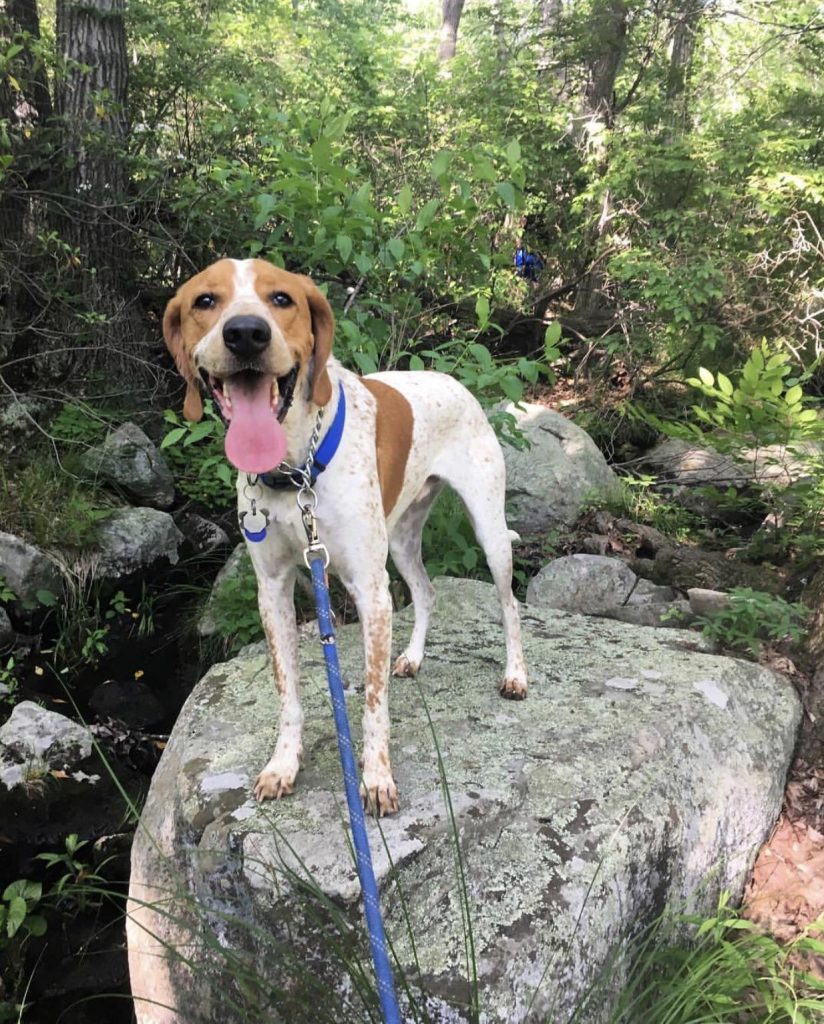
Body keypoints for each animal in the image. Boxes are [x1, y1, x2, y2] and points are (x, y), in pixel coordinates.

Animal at [163, 258, 528, 815]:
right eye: (205, 300)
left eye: (282, 299)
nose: (245, 333)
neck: (294, 470)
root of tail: (454, 381)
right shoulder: (273, 589)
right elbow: (288, 694)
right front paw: (283, 764)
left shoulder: (368, 591)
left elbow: (373, 704)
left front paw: (375, 778)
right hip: (400, 539)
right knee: (426, 591)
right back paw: (413, 657)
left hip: (488, 529)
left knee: (509, 603)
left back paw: (515, 675)